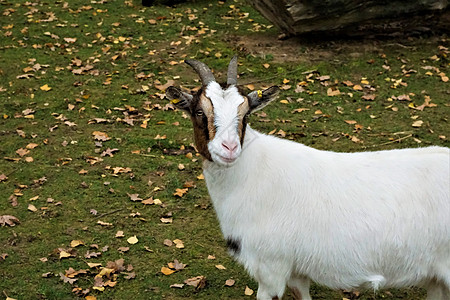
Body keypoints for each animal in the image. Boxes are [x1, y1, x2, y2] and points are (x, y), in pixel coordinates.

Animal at [166, 56, 450, 300]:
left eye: (245, 114)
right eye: (199, 111)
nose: (229, 148)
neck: (252, 174)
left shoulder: (271, 267)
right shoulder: (295, 272)